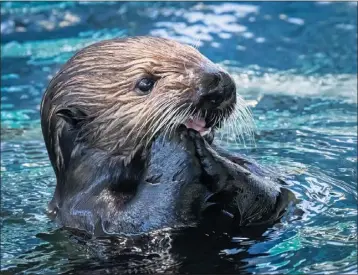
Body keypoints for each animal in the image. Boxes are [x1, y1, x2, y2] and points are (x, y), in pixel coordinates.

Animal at [40, 35, 296, 236]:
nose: (219, 83)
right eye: (145, 83)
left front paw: (212, 154)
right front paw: (175, 142)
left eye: (197, 53)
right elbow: (145, 219)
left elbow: (276, 197)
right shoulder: (87, 210)